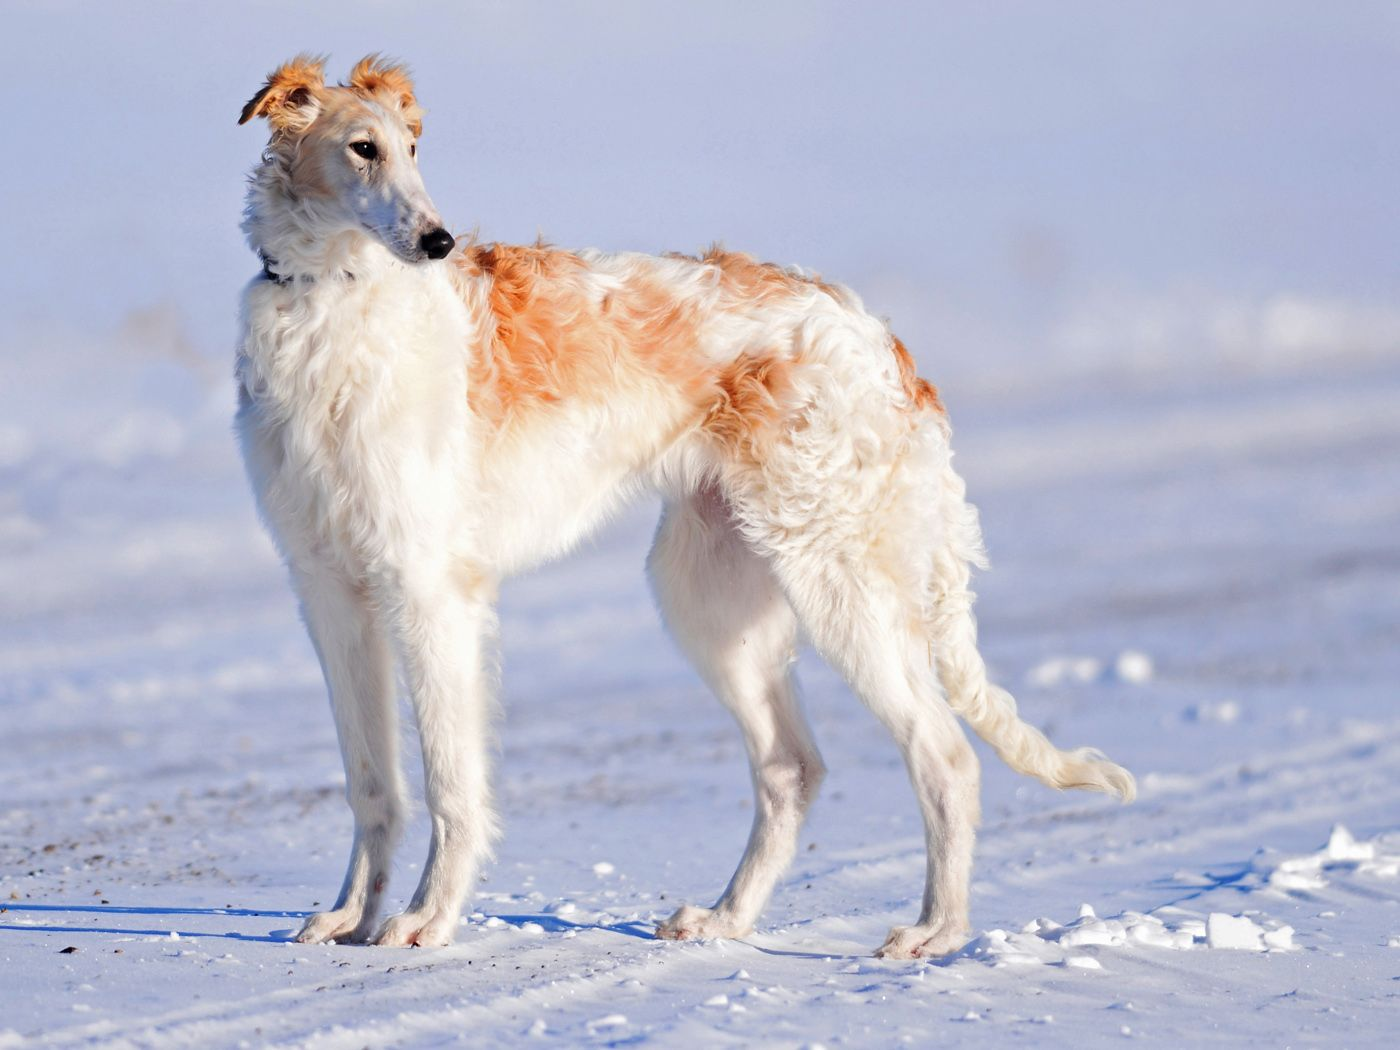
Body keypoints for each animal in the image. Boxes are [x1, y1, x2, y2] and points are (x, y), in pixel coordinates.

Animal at [238, 55, 1136, 963]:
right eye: (362, 147)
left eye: (413, 147)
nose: (437, 242)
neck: (332, 300)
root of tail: (883, 344)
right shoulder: (330, 592)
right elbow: (371, 783)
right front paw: (350, 916)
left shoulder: (430, 591)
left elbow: (452, 783)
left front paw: (426, 920)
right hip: (710, 596)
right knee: (792, 767)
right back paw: (726, 918)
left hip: (837, 580)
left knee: (946, 755)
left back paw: (934, 931)